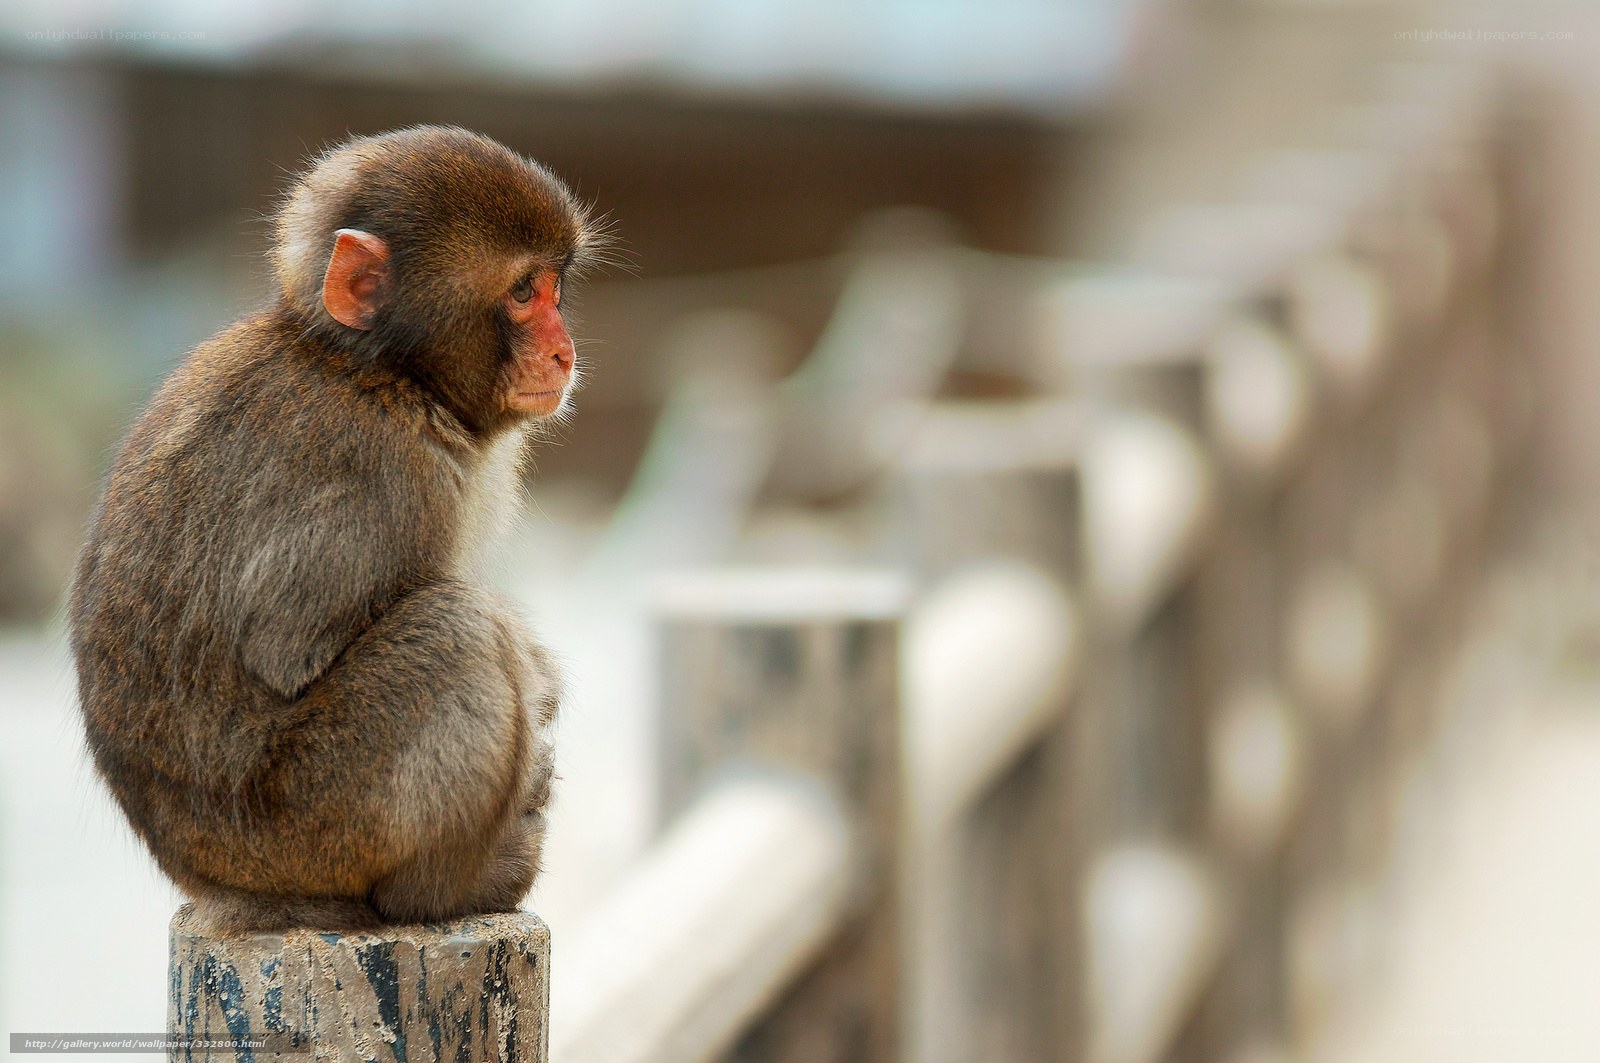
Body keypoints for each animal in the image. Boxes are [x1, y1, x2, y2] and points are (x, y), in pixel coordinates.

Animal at [68, 126, 608, 934]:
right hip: (313, 825)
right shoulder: (379, 472)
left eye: (553, 288)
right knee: (455, 629)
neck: (381, 372)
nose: (563, 350)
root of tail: (215, 882)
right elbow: (290, 650)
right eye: (521, 293)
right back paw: (448, 890)